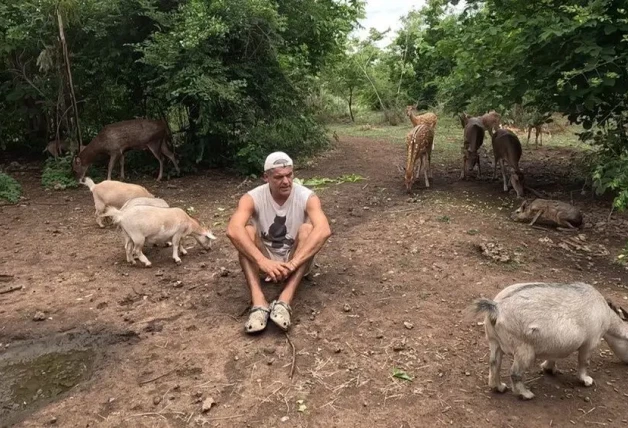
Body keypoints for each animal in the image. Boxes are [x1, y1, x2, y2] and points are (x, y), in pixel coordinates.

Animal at [472, 282, 628, 400]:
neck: (605, 313)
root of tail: (497, 307)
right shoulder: (590, 343)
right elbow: (584, 362)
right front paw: (585, 380)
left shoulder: (556, 344)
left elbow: (553, 356)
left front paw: (549, 368)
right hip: (524, 350)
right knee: (515, 373)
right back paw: (525, 394)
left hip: (494, 341)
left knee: (494, 363)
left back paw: (498, 387)